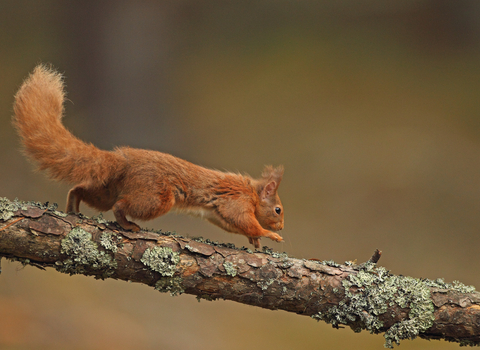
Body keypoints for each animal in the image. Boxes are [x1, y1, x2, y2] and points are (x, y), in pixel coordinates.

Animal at [12, 64, 284, 247]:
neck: (252, 193)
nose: (282, 226)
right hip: (155, 197)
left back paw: (72, 209)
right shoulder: (236, 201)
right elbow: (243, 220)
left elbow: (234, 225)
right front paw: (270, 234)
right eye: (278, 210)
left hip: (107, 190)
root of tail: (122, 159)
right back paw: (127, 224)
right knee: (120, 206)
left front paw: (255, 240)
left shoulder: (217, 214)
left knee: (80, 190)